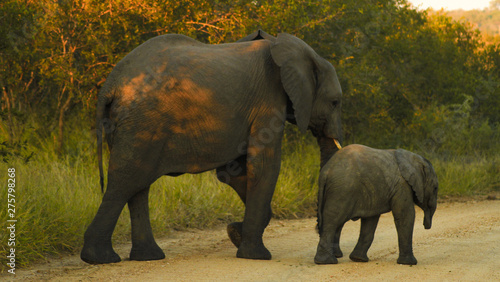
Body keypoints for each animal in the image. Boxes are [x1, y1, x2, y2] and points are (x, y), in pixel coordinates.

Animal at [81, 29, 344, 264]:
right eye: (335, 102)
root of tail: (110, 84)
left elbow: (235, 172)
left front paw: (235, 233)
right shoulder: (268, 101)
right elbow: (263, 165)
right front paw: (256, 255)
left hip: (129, 123)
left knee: (137, 185)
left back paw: (146, 257)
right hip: (142, 122)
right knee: (126, 181)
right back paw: (100, 258)